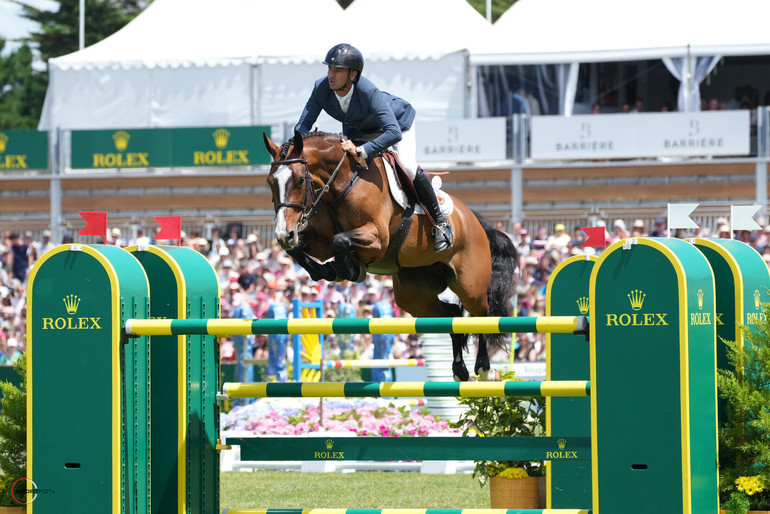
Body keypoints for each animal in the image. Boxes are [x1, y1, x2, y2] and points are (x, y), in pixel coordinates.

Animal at [260, 131, 520, 380]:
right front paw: (327, 270)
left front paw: (348, 268)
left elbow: (340, 240)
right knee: (453, 314)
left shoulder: (377, 239)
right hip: (414, 295)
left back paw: (483, 367)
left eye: (300, 180)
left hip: (469, 285)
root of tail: (474, 219)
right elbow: (300, 248)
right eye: (270, 181)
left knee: (481, 313)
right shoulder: (318, 241)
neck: (341, 186)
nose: (283, 233)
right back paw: (459, 369)